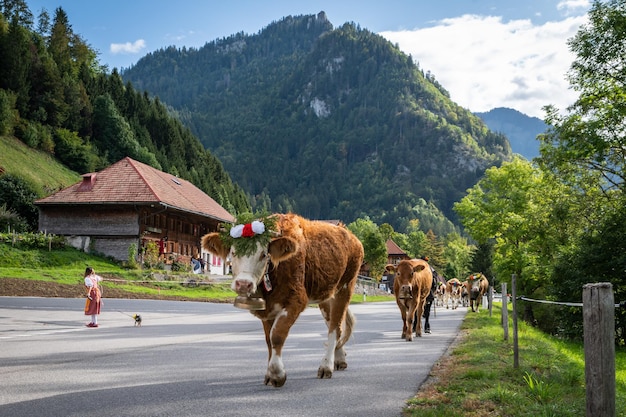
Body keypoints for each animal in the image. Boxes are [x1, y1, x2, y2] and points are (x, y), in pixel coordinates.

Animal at [200, 213, 366, 386]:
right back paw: (339, 359)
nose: (244, 284)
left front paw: (276, 373)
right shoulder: (267, 308)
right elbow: (268, 340)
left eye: (263, 254)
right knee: (333, 324)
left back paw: (326, 366)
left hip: (346, 287)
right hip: (325, 295)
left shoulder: (296, 300)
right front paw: (269, 374)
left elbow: (277, 335)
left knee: (335, 328)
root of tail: (348, 233)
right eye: (233, 253)